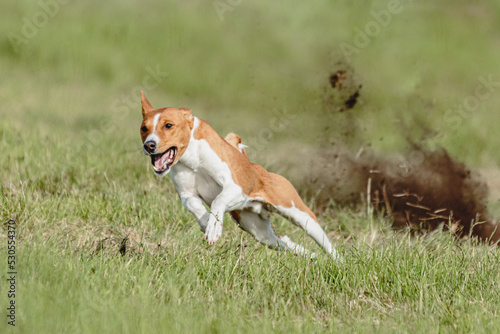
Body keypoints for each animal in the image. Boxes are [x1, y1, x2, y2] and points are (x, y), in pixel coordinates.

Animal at [139, 92, 338, 260]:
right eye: (143, 128)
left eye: (168, 125)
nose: (149, 145)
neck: (192, 159)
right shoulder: (187, 195)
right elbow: (196, 207)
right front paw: (207, 222)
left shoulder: (235, 187)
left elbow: (218, 200)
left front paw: (213, 228)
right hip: (259, 231)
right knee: (284, 241)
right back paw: (312, 257)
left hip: (298, 214)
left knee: (325, 242)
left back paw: (339, 262)